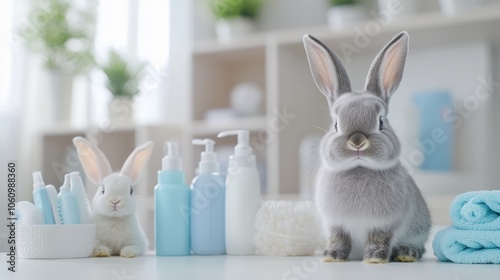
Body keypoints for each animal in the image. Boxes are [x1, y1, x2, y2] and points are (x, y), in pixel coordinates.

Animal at [302, 31, 432, 264]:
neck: (359, 168)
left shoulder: (384, 224)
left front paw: (375, 259)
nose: (357, 141)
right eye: (336, 124)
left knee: (419, 247)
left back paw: (406, 254)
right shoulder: (336, 224)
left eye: (380, 122)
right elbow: (338, 239)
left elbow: (378, 239)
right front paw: (332, 256)